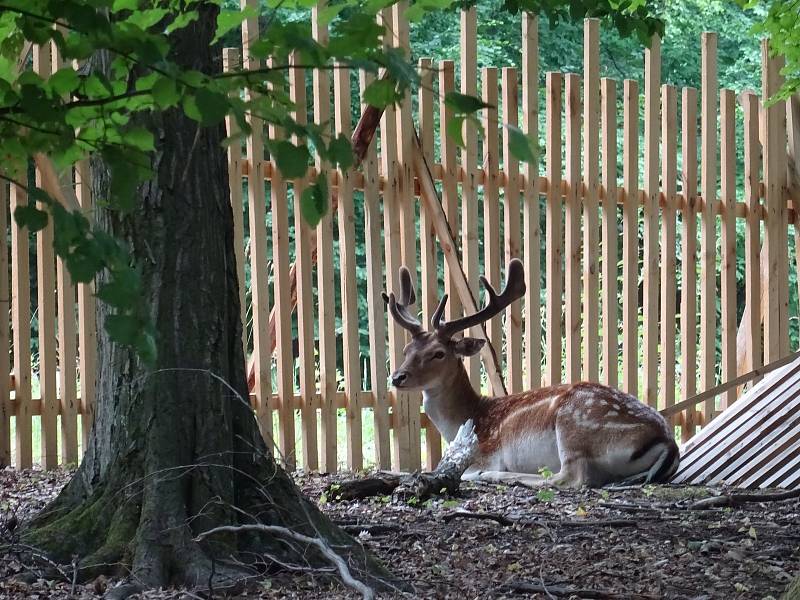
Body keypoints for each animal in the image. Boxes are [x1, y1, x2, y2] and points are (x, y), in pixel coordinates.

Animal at [384, 258, 680, 488]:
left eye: (438, 353)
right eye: (407, 349)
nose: (397, 377)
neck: (465, 419)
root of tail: (669, 441)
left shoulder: (485, 452)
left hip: (575, 424)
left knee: (571, 477)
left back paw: (497, 476)